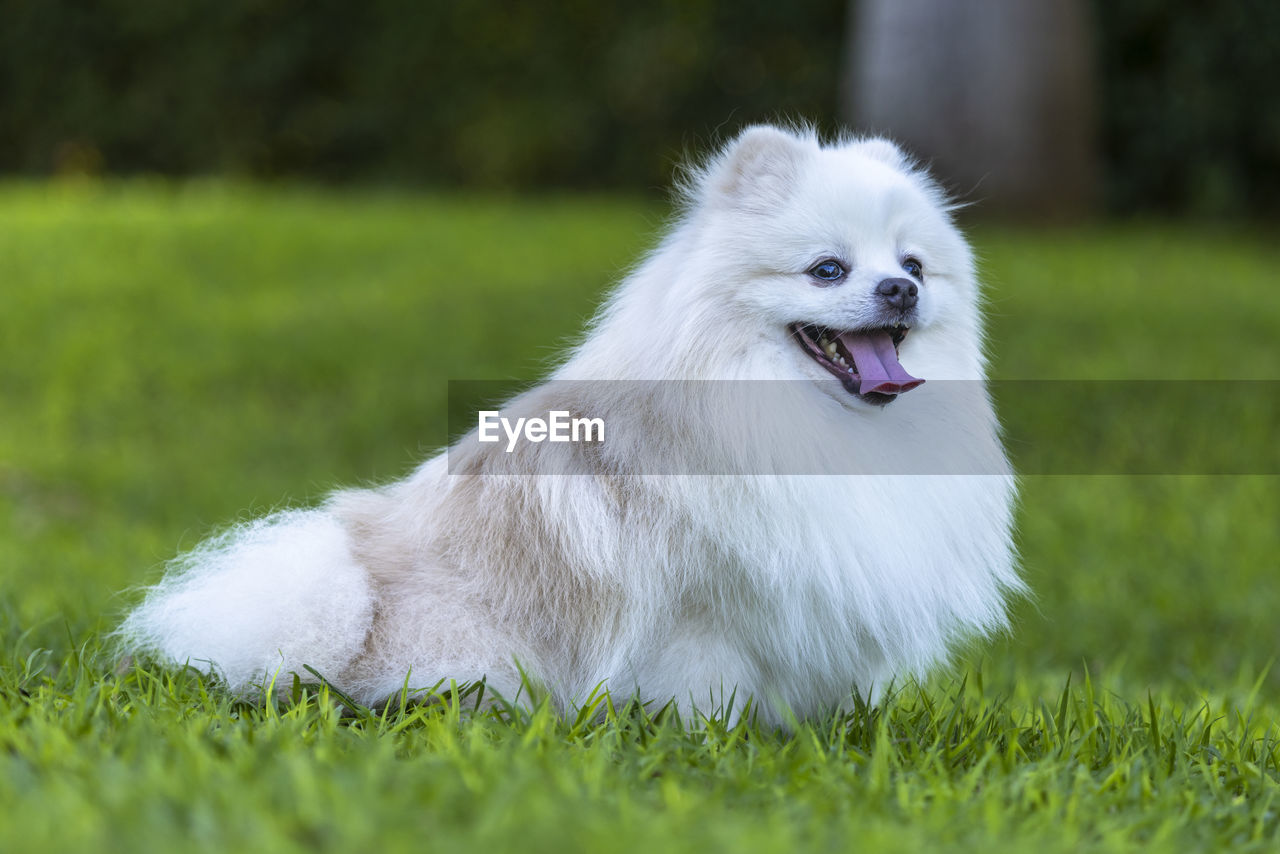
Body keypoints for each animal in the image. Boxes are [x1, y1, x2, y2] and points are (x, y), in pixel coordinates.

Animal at [120, 126, 1018, 727]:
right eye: (828, 270)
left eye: (912, 265)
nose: (900, 291)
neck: (793, 414)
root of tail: (356, 592)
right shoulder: (702, 610)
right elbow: (707, 690)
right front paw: (715, 743)